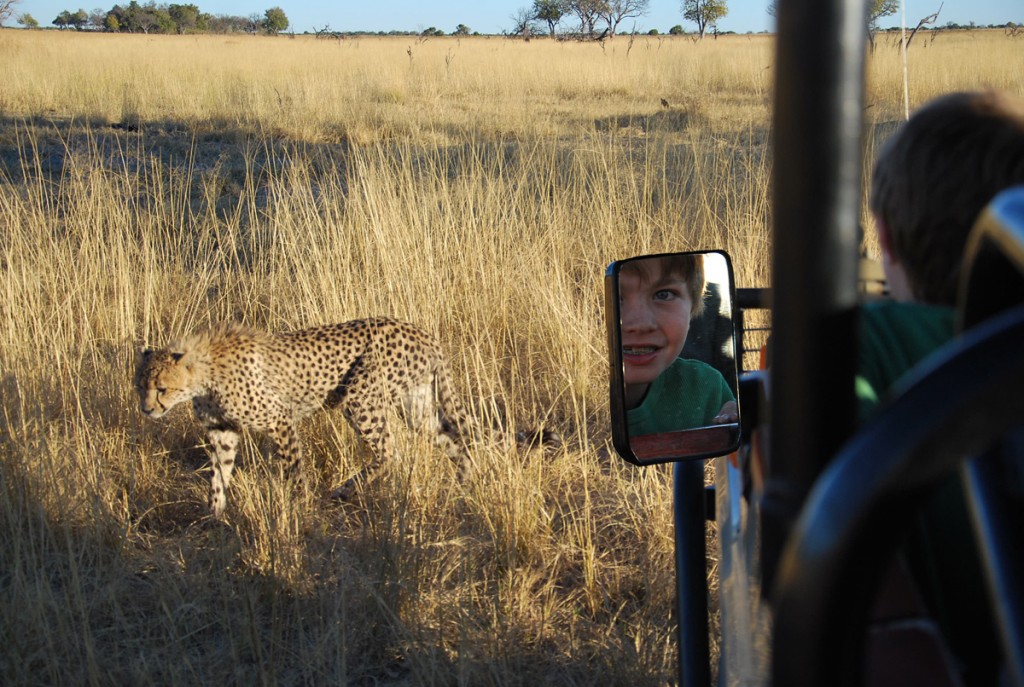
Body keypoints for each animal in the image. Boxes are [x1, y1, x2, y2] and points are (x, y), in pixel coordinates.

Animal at [137, 317, 557, 516]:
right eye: (141, 385)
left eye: (162, 388)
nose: (147, 409)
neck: (203, 371)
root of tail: (421, 331)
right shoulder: (222, 431)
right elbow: (219, 474)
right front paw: (215, 514)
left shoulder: (280, 419)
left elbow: (294, 469)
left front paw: (301, 506)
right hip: (415, 406)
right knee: (451, 440)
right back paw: (465, 481)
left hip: (360, 398)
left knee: (389, 452)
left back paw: (344, 488)